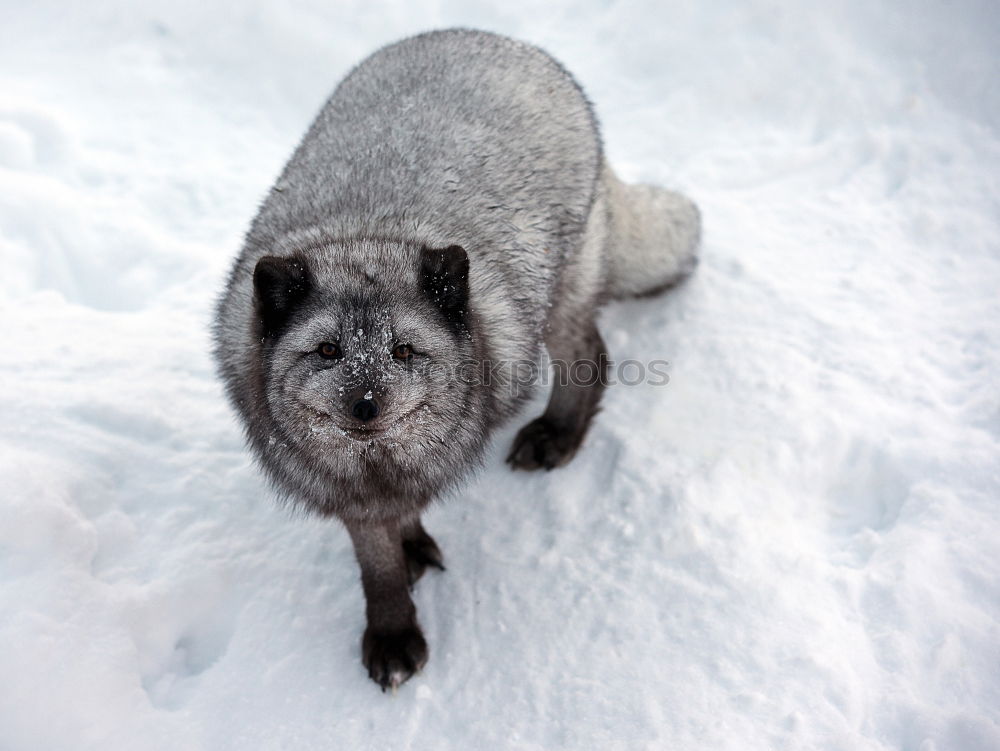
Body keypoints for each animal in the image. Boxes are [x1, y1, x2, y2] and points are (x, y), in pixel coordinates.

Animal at [215, 27, 700, 692]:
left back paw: (557, 434)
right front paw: (397, 600)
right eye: (327, 350)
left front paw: (399, 613)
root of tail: (497, 37)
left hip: (559, 301)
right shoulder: (347, 493)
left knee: (593, 356)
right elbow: (376, 561)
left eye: (404, 351)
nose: (366, 406)